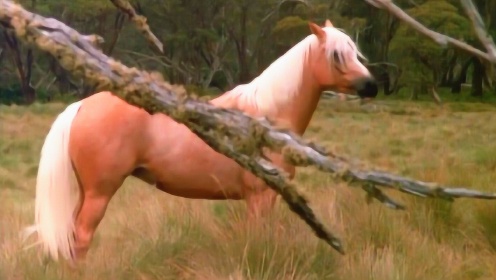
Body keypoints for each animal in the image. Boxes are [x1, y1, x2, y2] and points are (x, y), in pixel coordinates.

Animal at [25, 20, 378, 264]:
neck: (265, 118)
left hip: (87, 193)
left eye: (355, 52)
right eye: (336, 55)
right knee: (82, 237)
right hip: (100, 193)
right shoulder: (260, 196)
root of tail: (82, 105)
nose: (371, 86)